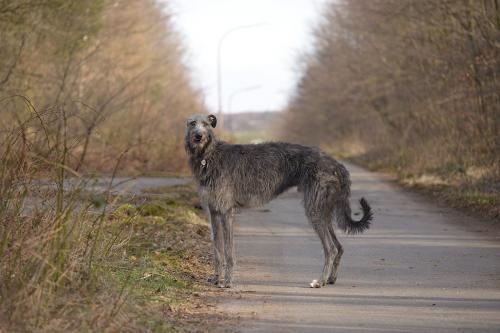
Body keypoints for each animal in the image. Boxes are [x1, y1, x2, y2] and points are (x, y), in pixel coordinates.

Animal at [184, 113, 372, 286]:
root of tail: (337, 164)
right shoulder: (214, 211)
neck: (208, 156)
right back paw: (331, 278)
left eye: (206, 124)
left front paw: (228, 281)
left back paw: (320, 281)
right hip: (323, 210)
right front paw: (216, 278)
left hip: (315, 209)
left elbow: (229, 251)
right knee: (339, 247)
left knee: (331, 249)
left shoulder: (226, 211)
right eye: (192, 123)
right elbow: (217, 249)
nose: (198, 136)